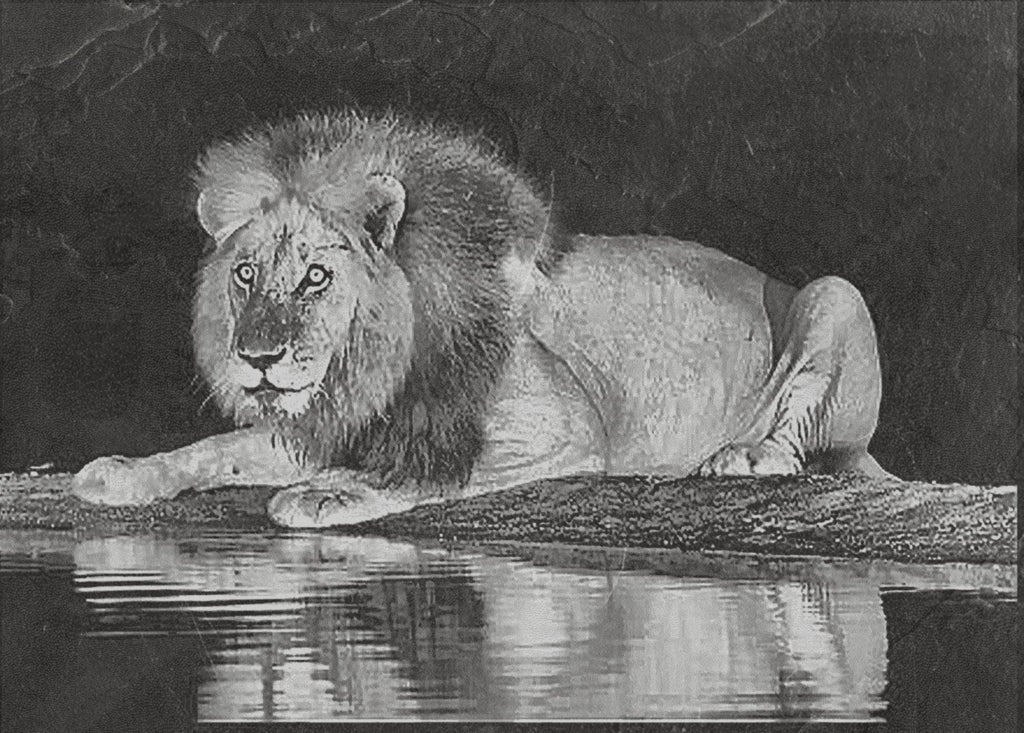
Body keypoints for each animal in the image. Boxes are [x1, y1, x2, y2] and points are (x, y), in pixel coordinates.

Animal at [71, 109, 893, 527]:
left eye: (316, 275)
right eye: (244, 274)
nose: (259, 358)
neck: (375, 364)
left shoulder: (565, 431)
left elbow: (437, 469)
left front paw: (332, 491)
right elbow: (220, 448)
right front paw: (127, 473)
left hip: (835, 293)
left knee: (804, 443)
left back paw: (745, 453)